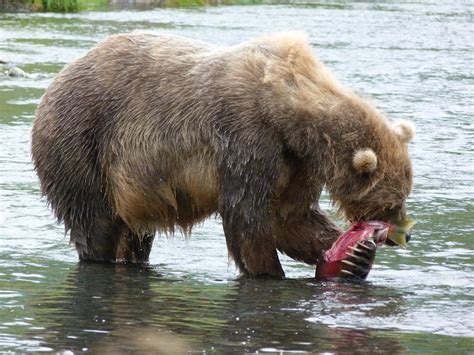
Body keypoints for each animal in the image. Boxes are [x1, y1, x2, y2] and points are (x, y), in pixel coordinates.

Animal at [30, 32, 414, 278]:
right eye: (391, 203)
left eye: (404, 197)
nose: (406, 235)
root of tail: (53, 84)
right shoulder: (246, 137)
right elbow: (248, 217)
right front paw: (270, 271)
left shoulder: (295, 163)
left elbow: (290, 218)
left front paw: (354, 255)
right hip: (82, 143)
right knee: (95, 221)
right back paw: (101, 257)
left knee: (136, 233)